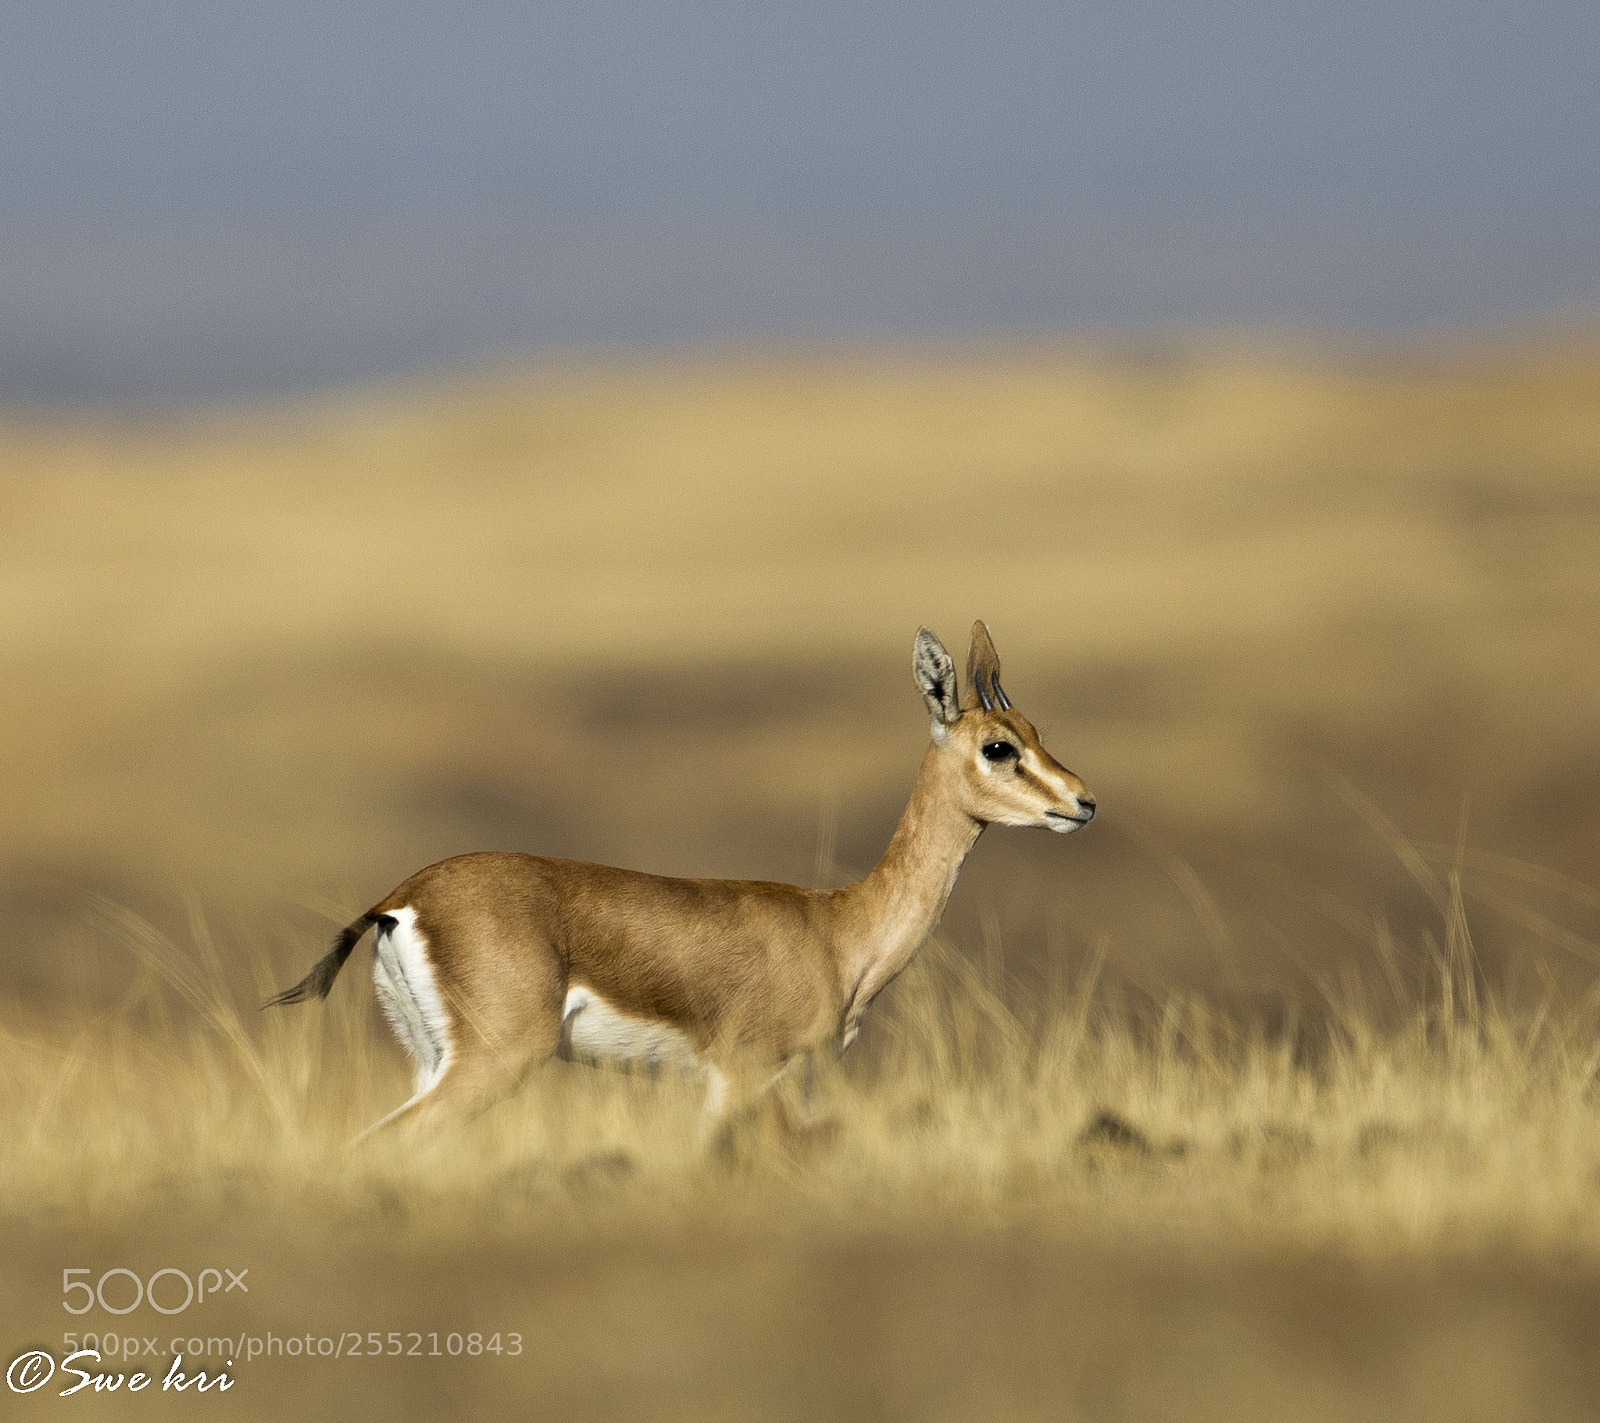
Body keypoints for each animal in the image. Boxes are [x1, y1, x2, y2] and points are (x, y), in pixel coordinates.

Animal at [266, 622, 1094, 1142]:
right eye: (999, 746)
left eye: (1039, 732)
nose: (1082, 801)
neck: (838, 930)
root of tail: (403, 895)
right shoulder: (740, 1077)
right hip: (492, 1063)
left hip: (431, 1061)